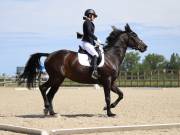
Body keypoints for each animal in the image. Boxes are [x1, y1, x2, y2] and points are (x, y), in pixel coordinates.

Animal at [19, 23, 147, 116]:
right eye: (134, 36)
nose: (145, 47)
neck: (112, 57)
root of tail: (50, 54)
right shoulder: (107, 80)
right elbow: (108, 97)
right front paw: (110, 113)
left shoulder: (112, 82)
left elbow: (121, 94)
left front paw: (109, 107)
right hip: (56, 77)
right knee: (43, 88)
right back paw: (46, 108)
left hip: (58, 80)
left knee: (50, 94)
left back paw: (52, 112)